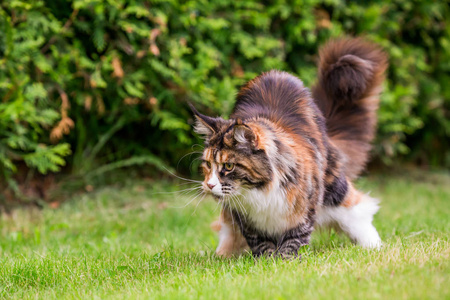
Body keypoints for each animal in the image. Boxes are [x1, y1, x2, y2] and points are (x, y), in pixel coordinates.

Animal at [189, 37, 386, 258]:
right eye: (208, 164)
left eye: (229, 166)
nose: (209, 185)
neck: (258, 191)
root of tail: (276, 73)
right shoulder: (247, 221)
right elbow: (260, 242)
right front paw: (266, 260)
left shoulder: (304, 209)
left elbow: (294, 239)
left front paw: (285, 260)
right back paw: (221, 255)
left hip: (333, 185)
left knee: (358, 209)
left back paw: (373, 245)